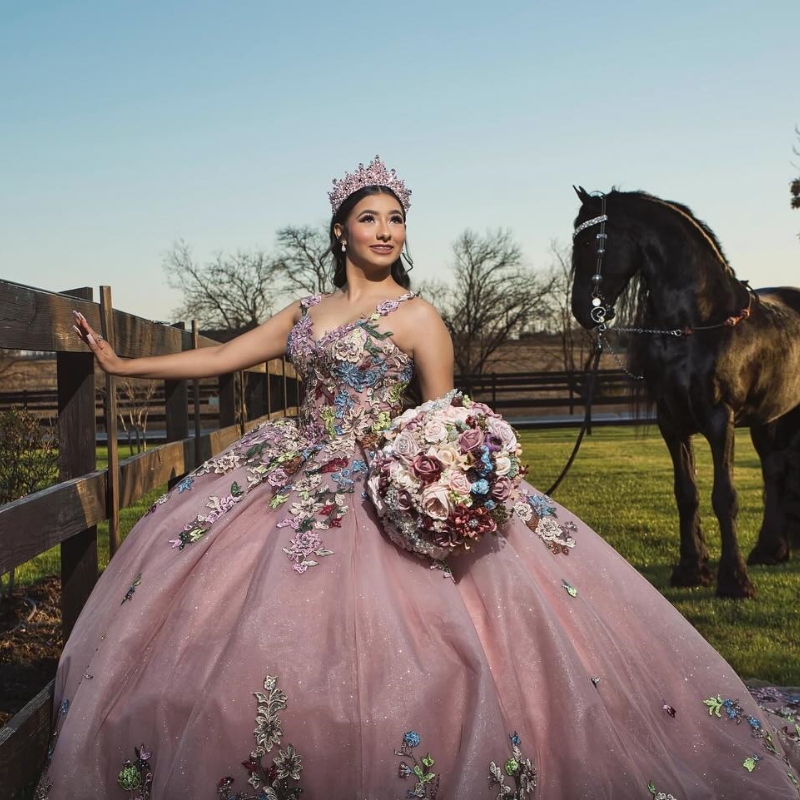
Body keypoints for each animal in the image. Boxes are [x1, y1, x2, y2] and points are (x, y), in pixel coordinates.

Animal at [568, 188, 800, 596]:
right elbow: (686, 493)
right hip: (770, 418)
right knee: (775, 470)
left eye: (588, 242)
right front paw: (691, 569)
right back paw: (769, 550)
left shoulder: (720, 420)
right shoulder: (671, 421)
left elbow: (724, 497)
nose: (581, 308)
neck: (698, 324)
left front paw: (734, 580)